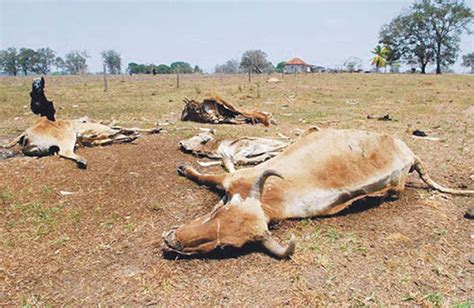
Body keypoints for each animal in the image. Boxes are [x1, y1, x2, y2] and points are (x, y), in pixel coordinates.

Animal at [1, 116, 161, 168]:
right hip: (69, 135)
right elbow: (128, 128)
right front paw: (154, 129)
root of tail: (26, 133)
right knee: (64, 151)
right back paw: (82, 160)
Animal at [164, 127, 474, 258]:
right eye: (220, 209)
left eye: (226, 247)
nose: (172, 241)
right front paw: (187, 167)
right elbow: (210, 174)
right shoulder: (234, 180)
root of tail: (409, 153)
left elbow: (213, 173)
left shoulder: (237, 178)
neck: (273, 200)